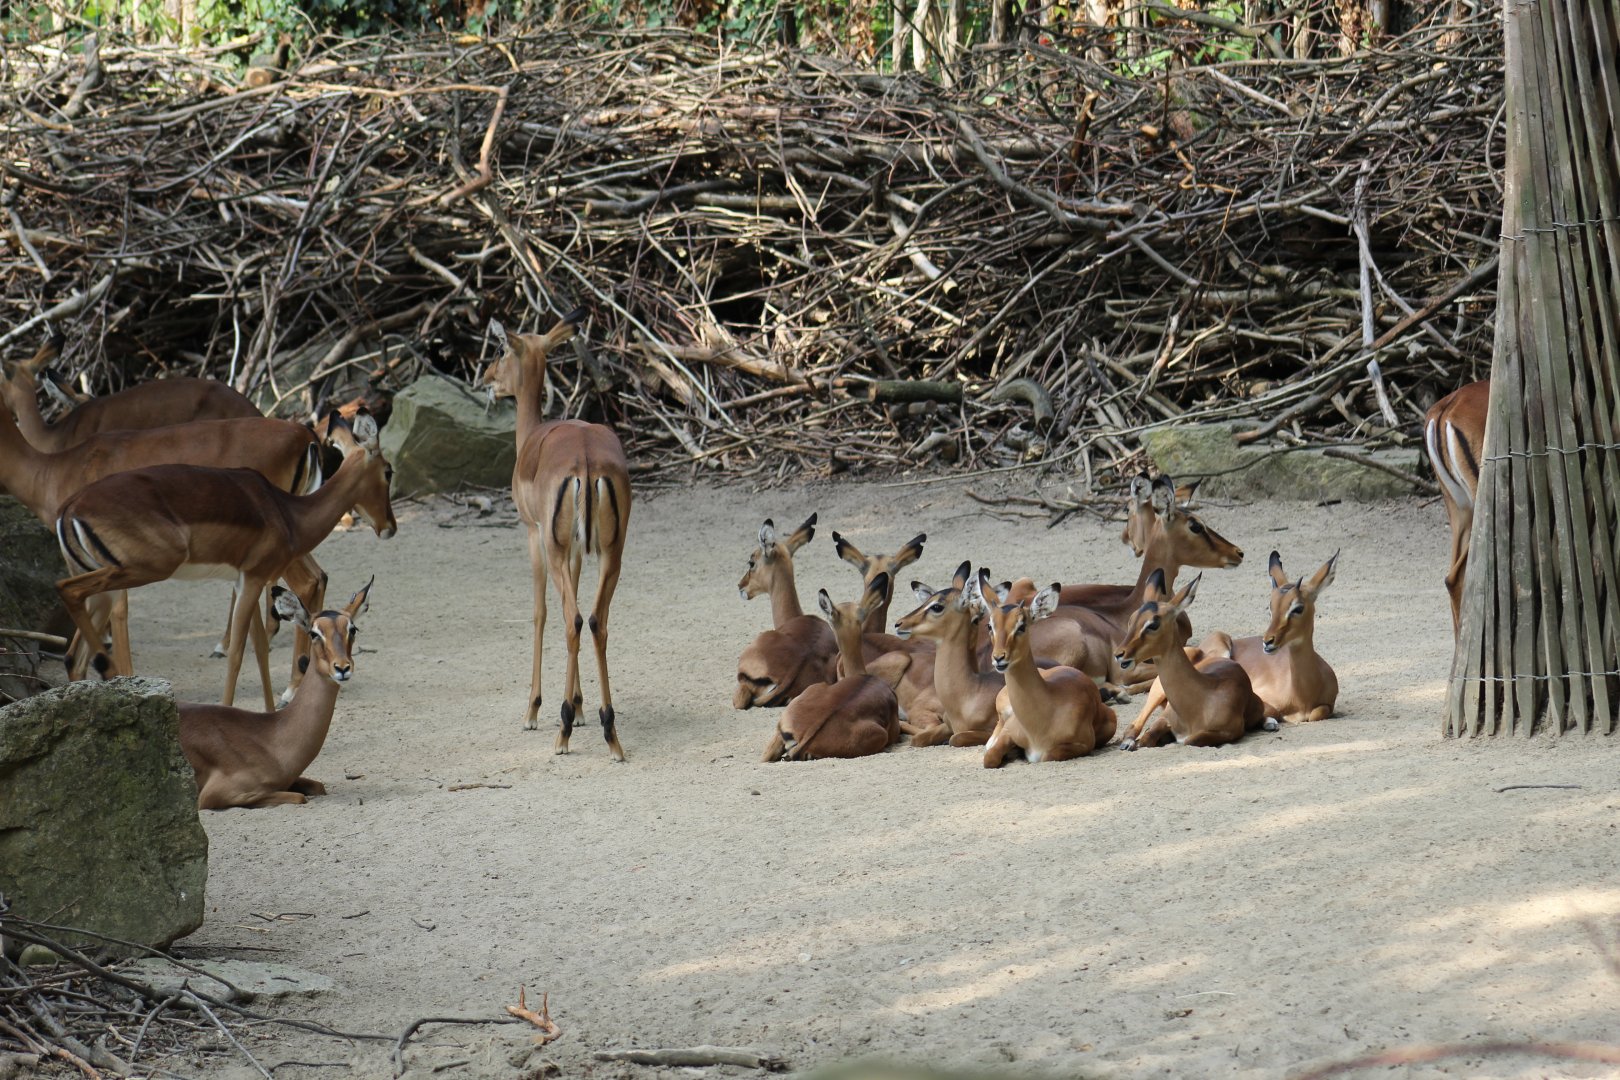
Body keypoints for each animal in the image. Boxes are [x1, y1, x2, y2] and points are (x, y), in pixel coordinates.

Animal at [52, 411, 396, 709]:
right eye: (389, 470)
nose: (390, 527)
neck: (287, 513)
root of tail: (69, 509)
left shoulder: (248, 580)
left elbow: (260, 649)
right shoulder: (254, 579)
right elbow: (237, 654)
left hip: (106, 585)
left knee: (73, 654)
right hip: (137, 570)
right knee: (67, 590)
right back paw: (108, 668)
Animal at [178, 579, 372, 810]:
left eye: (352, 628)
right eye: (314, 633)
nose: (342, 668)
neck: (270, 740)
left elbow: (319, 786)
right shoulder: (214, 796)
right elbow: (299, 797)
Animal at [484, 313, 632, 760]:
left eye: (500, 349)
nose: (487, 379)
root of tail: (586, 459)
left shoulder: (534, 536)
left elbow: (539, 612)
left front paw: (534, 712)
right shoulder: (579, 552)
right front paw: (582, 708)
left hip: (553, 548)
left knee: (571, 619)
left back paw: (562, 732)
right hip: (612, 554)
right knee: (595, 620)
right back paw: (609, 731)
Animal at [978, 570, 1117, 766]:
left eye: (1022, 625)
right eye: (990, 625)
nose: (999, 658)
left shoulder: (1080, 745)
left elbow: (1047, 755)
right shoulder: (1009, 732)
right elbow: (989, 758)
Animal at [1114, 570, 1275, 750]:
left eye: (1153, 624)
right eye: (1131, 620)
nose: (1119, 654)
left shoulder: (1230, 731)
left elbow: (1190, 740)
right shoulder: (1164, 718)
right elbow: (1147, 738)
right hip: (1157, 691)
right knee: (1134, 724)